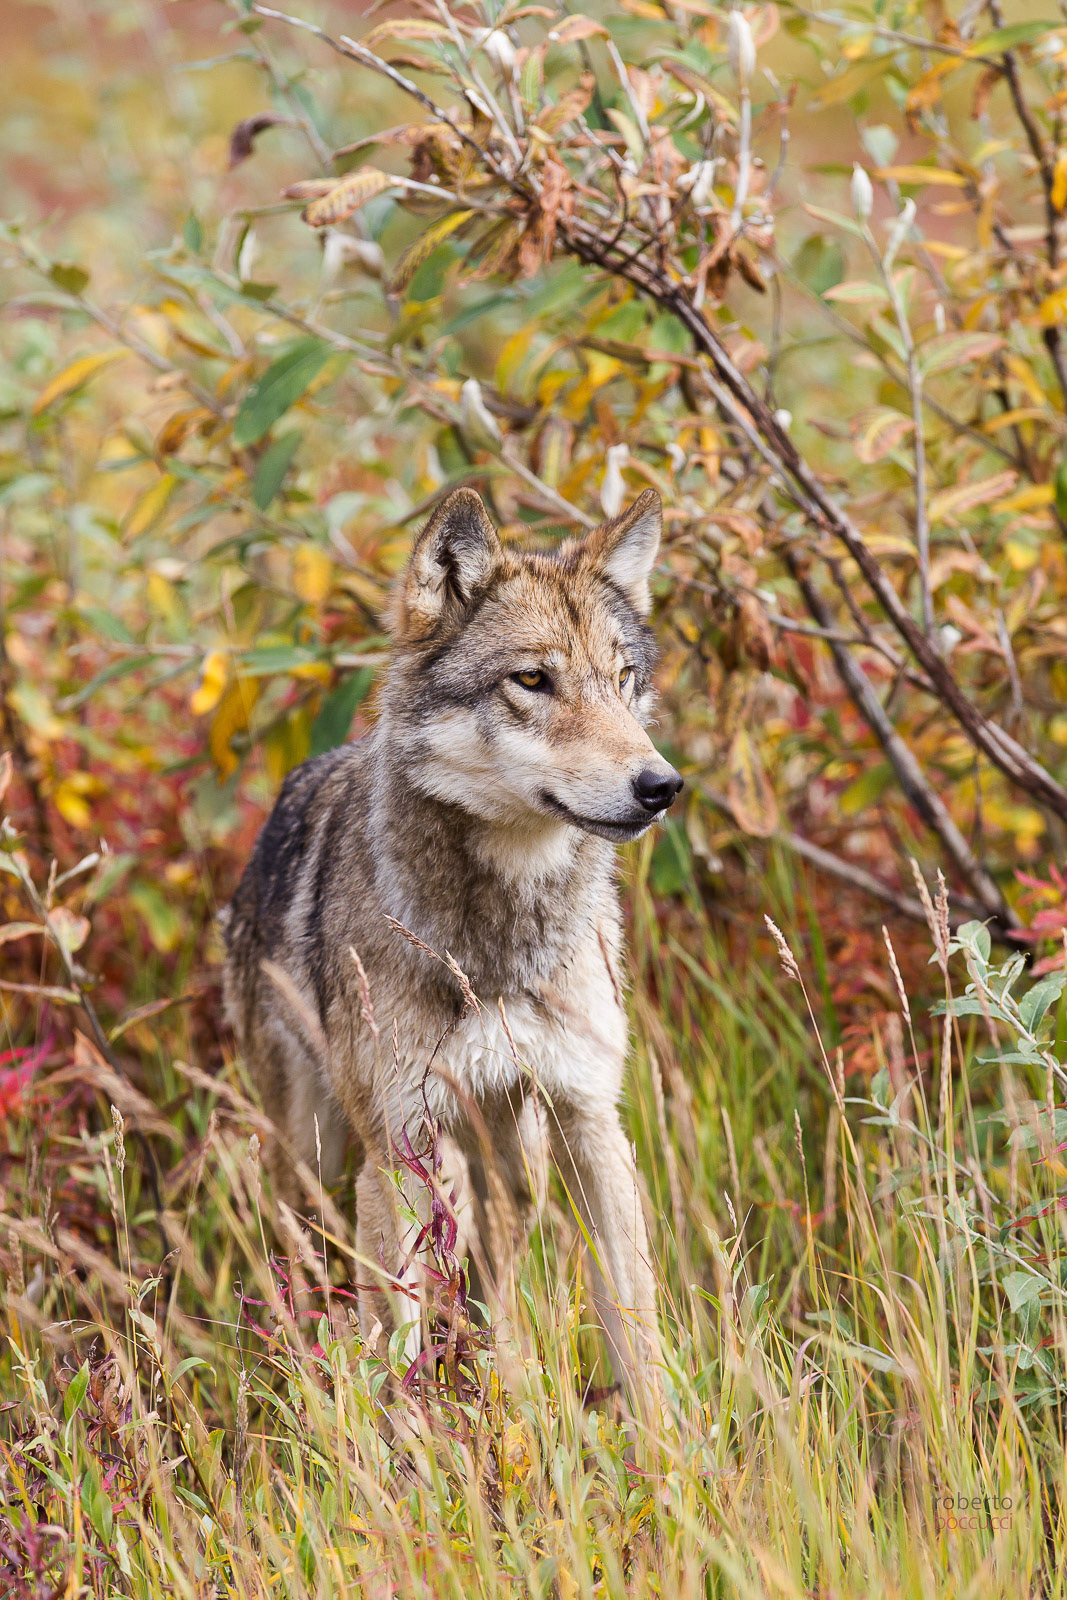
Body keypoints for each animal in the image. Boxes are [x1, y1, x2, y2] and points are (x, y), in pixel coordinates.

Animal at [222, 485, 682, 1402]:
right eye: (532, 680)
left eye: (622, 681)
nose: (661, 786)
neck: (498, 947)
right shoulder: (395, 1151)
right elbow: (391, 1355)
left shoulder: (591, 1123)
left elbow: (638, 1339)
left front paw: (667, 1443)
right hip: (319, 1154)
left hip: (513, 1167)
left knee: (492, 1292)